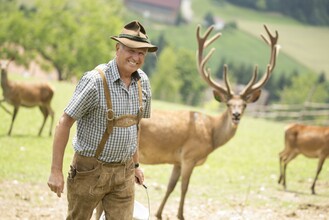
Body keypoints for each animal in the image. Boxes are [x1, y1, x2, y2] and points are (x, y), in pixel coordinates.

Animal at [135, 24, 276, 220]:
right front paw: (181, 215)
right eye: (228, 104)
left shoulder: (178, 160)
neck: (211, 134)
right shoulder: (190, 155)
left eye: (244, 105)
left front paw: (159, 213)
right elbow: (184, 188)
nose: (236, 115)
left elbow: (170, 186)